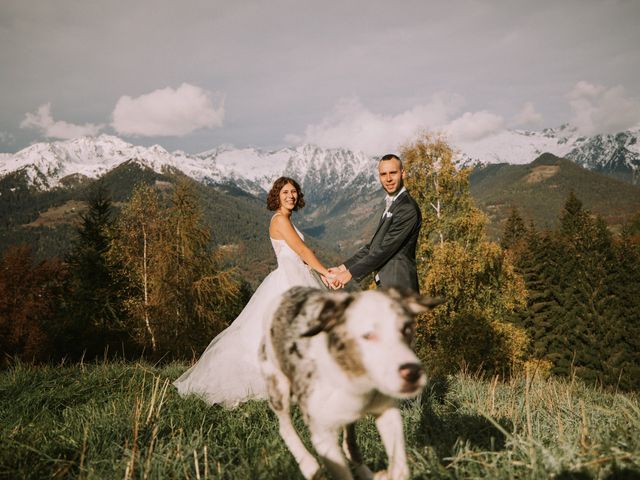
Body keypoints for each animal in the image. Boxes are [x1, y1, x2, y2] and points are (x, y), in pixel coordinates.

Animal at [258, 286, 442, 478]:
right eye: (368, 335)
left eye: (406, 329)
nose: (412, 372)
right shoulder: (324, 438)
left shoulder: (387, 412)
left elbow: (400, 468)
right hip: (277, 387)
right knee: (285, 427)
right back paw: (309, 466)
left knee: (349, 445)